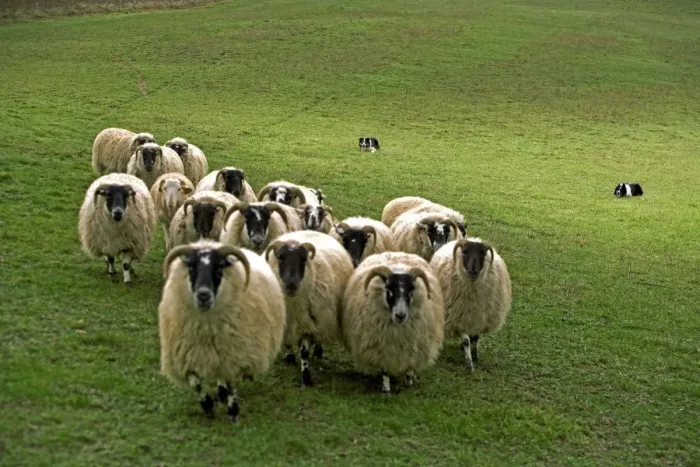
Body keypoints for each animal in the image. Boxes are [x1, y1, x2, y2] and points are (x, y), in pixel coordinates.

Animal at [159, 240, 286, 422]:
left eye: (219, 269)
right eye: (191, 269)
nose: (203, 296)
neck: (206, 329)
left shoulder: (232, 354)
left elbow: (231, 382)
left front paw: (233, 412)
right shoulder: (184, 357)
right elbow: (195, 382)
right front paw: (207, 405)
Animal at [264, 230, 354, 387]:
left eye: (303, 261)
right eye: (280, 259)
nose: (291, 284)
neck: (292, 303)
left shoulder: (307, 324)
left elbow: (304, 352)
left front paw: (306, 378)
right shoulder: (285, 322)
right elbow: (287, 342)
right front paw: (290, 357)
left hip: (324, 315)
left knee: (320, 334)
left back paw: (318, 351)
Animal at [341, 252, 444, 393]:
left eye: (411, 292)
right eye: (389, 291)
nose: (400, 316)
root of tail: (397, 252)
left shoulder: (414, 344)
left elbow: (410, 364)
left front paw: (409, 381)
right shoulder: (382, 346)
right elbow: (385, 369)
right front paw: (386, 389)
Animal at [429, 238, 512, 371]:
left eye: (483, 254)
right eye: (464, 252)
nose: (473, 270)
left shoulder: (479, 317)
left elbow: (475, 338)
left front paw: (474, 355)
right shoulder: (459, 318)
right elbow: (466, 341)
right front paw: (469, 364)